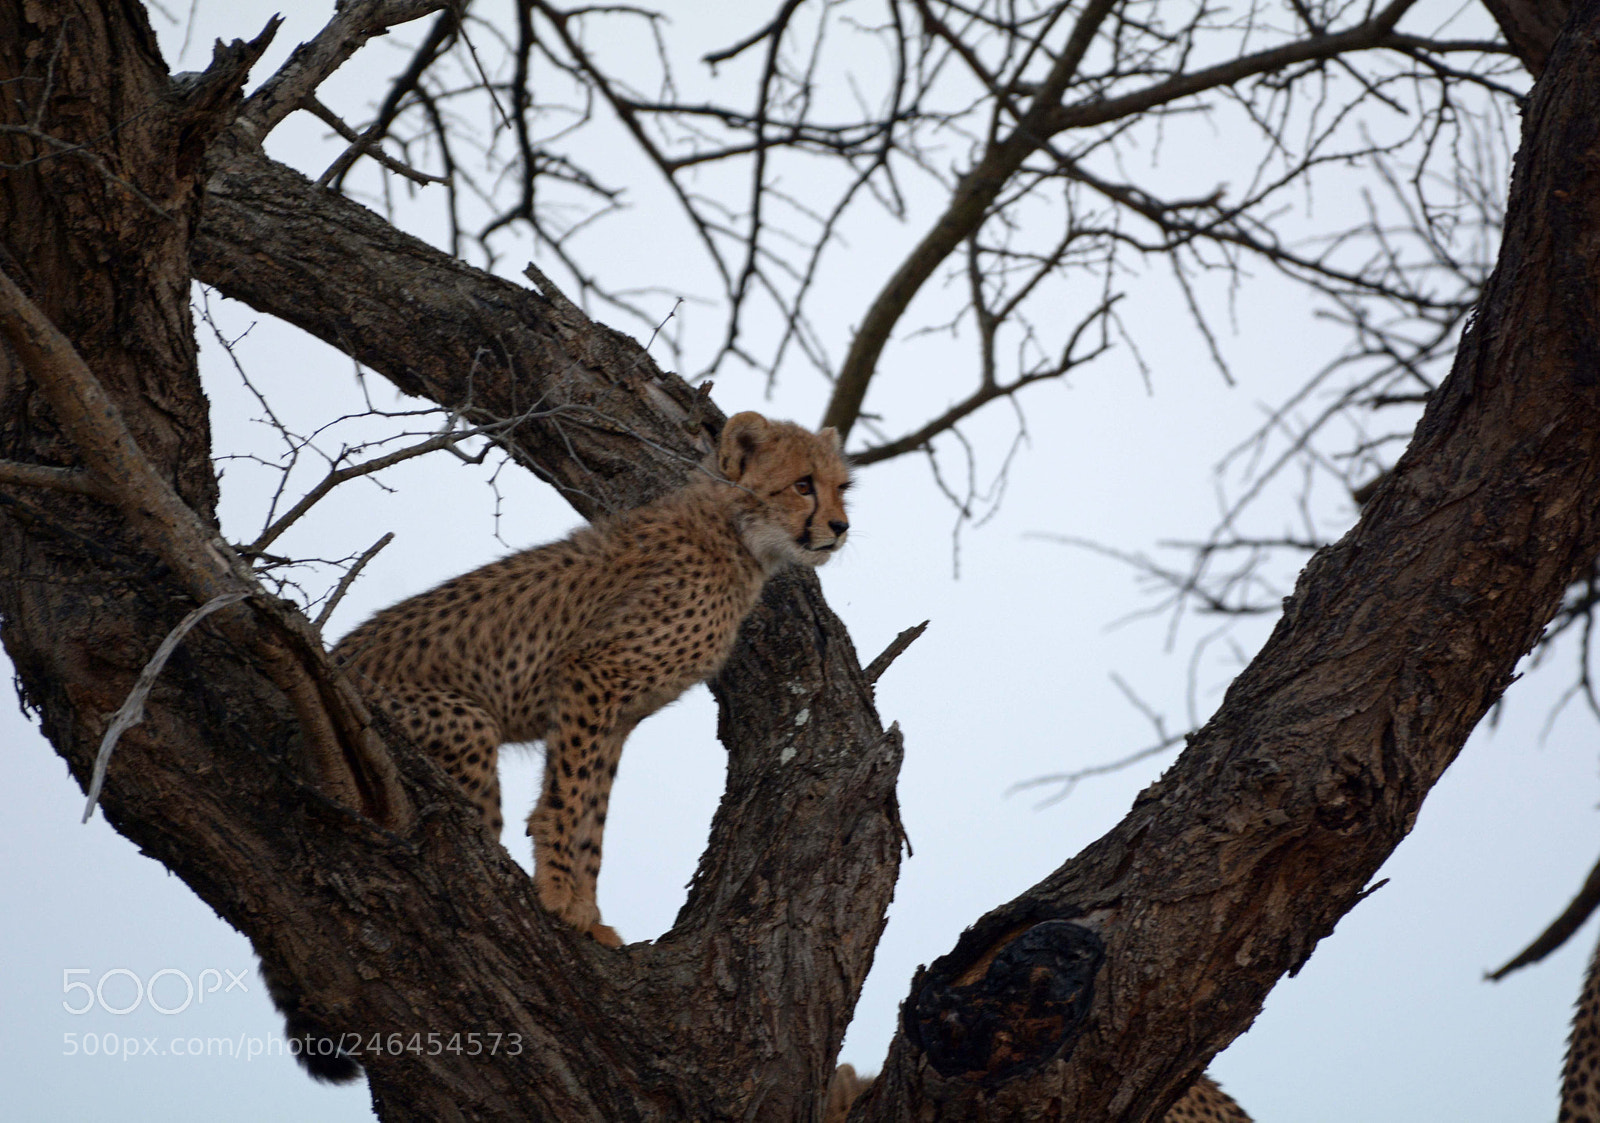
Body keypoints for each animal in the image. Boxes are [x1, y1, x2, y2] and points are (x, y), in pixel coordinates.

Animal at [331, 411, 852, 946]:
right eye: (803, 485)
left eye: (841, 487)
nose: (840, 526)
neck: (733, 534)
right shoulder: (594, 670)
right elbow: (568, 794)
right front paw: (560, 893)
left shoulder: (617, 715)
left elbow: (593, 814)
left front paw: (590, 913)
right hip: (459, 723)